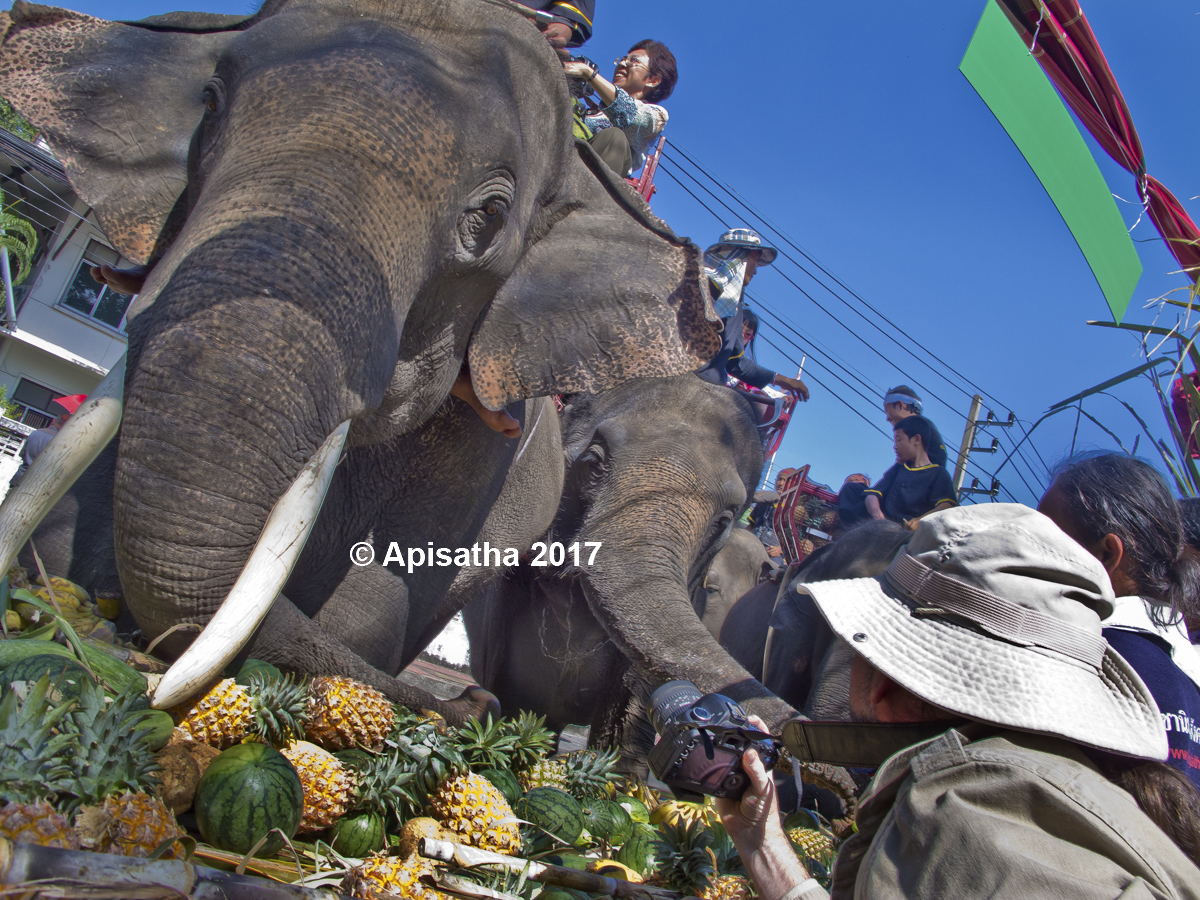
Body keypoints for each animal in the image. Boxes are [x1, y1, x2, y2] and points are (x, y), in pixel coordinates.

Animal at [0, 0, 715, 724]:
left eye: (490, 215)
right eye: (210, 103)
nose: (473, 703)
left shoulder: (479, 449)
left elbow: (369, 608)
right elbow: (65, 533)